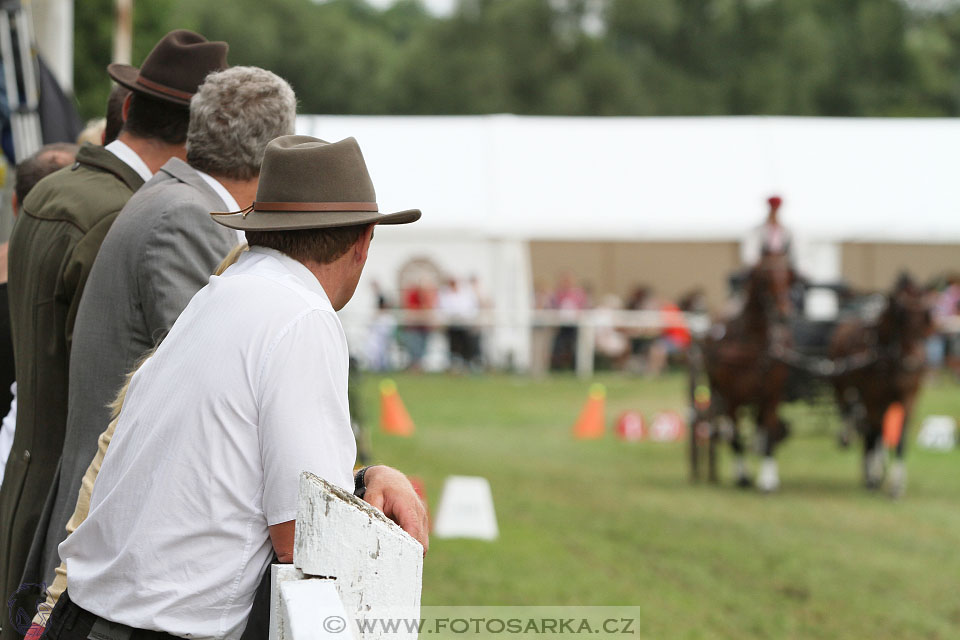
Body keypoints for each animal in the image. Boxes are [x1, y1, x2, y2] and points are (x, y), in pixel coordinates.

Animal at [688, 254, 796, 490]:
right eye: (765, 277)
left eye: (790, 276)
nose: (783, 314)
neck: (753, 341)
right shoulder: (731, 398)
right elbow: (735, 437)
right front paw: (743, 477)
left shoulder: (772, 396)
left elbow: (769, 435)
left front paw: (768, 480)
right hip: (720, 392)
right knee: (721, 429)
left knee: (760, 429)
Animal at [828, 278, 932, 498]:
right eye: (900, 317)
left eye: (926, 316)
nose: (912, 363)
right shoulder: (873, 398)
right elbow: (874, 431)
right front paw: (874, 475)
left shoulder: (907, 398)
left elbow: (899, 438)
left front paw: (896, 485)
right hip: (845, 389)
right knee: (864, 426)